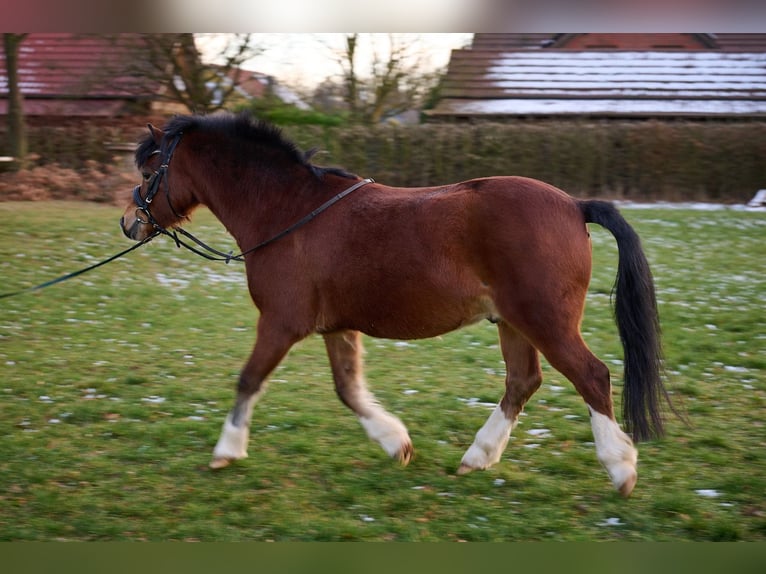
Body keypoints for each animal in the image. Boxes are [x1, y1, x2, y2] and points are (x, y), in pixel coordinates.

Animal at [118, 111, 672, 496]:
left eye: (148, 169)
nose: (129, 222)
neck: (288, 211)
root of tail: (575, 206)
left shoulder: (280, 322)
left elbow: (249, 379)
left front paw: (226, 451)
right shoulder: (335, 327)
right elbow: (348, 390)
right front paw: (396, 443)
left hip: (545, 321)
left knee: (591, 376)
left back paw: (620, 468)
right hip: (513, 322)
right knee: (523, 382)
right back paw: (478, 457)